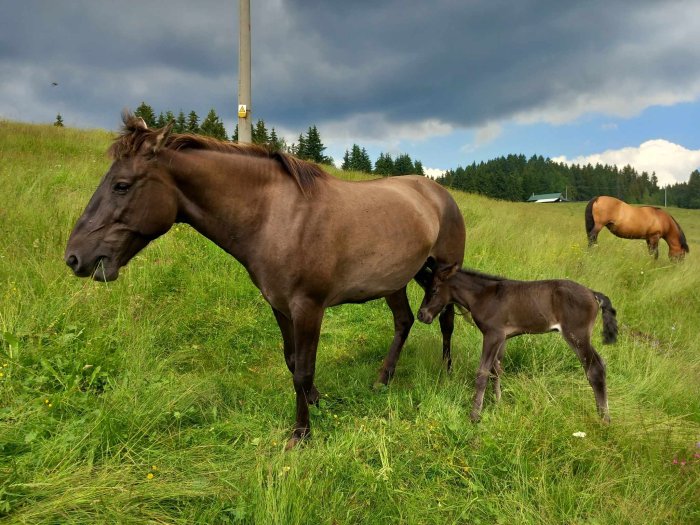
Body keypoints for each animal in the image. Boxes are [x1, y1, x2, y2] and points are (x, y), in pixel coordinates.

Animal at [64, 111, 466, 449]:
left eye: (121, 185)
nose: (75, 257)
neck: (277, 217)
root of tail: (437, 192)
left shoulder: (308, 307)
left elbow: (303, 369)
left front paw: (301, 434)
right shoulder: (280, 306)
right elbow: (292, 362)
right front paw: (315, 402)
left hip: (444, 271)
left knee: (446, 319)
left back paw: (446, 372)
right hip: (396, 280)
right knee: (404, 321)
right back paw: (383, 380)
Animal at [416, 263, 617, 423]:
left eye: (433, 290)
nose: (421, 315)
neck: (484, 295)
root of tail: (593, 293)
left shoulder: (493, 334)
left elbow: (482, 373)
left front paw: (474, 416)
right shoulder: (503, 338)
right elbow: (496, 370)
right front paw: (498, 404)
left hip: (576, 335)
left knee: (594, 369)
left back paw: (604, 418)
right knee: (601, 364)